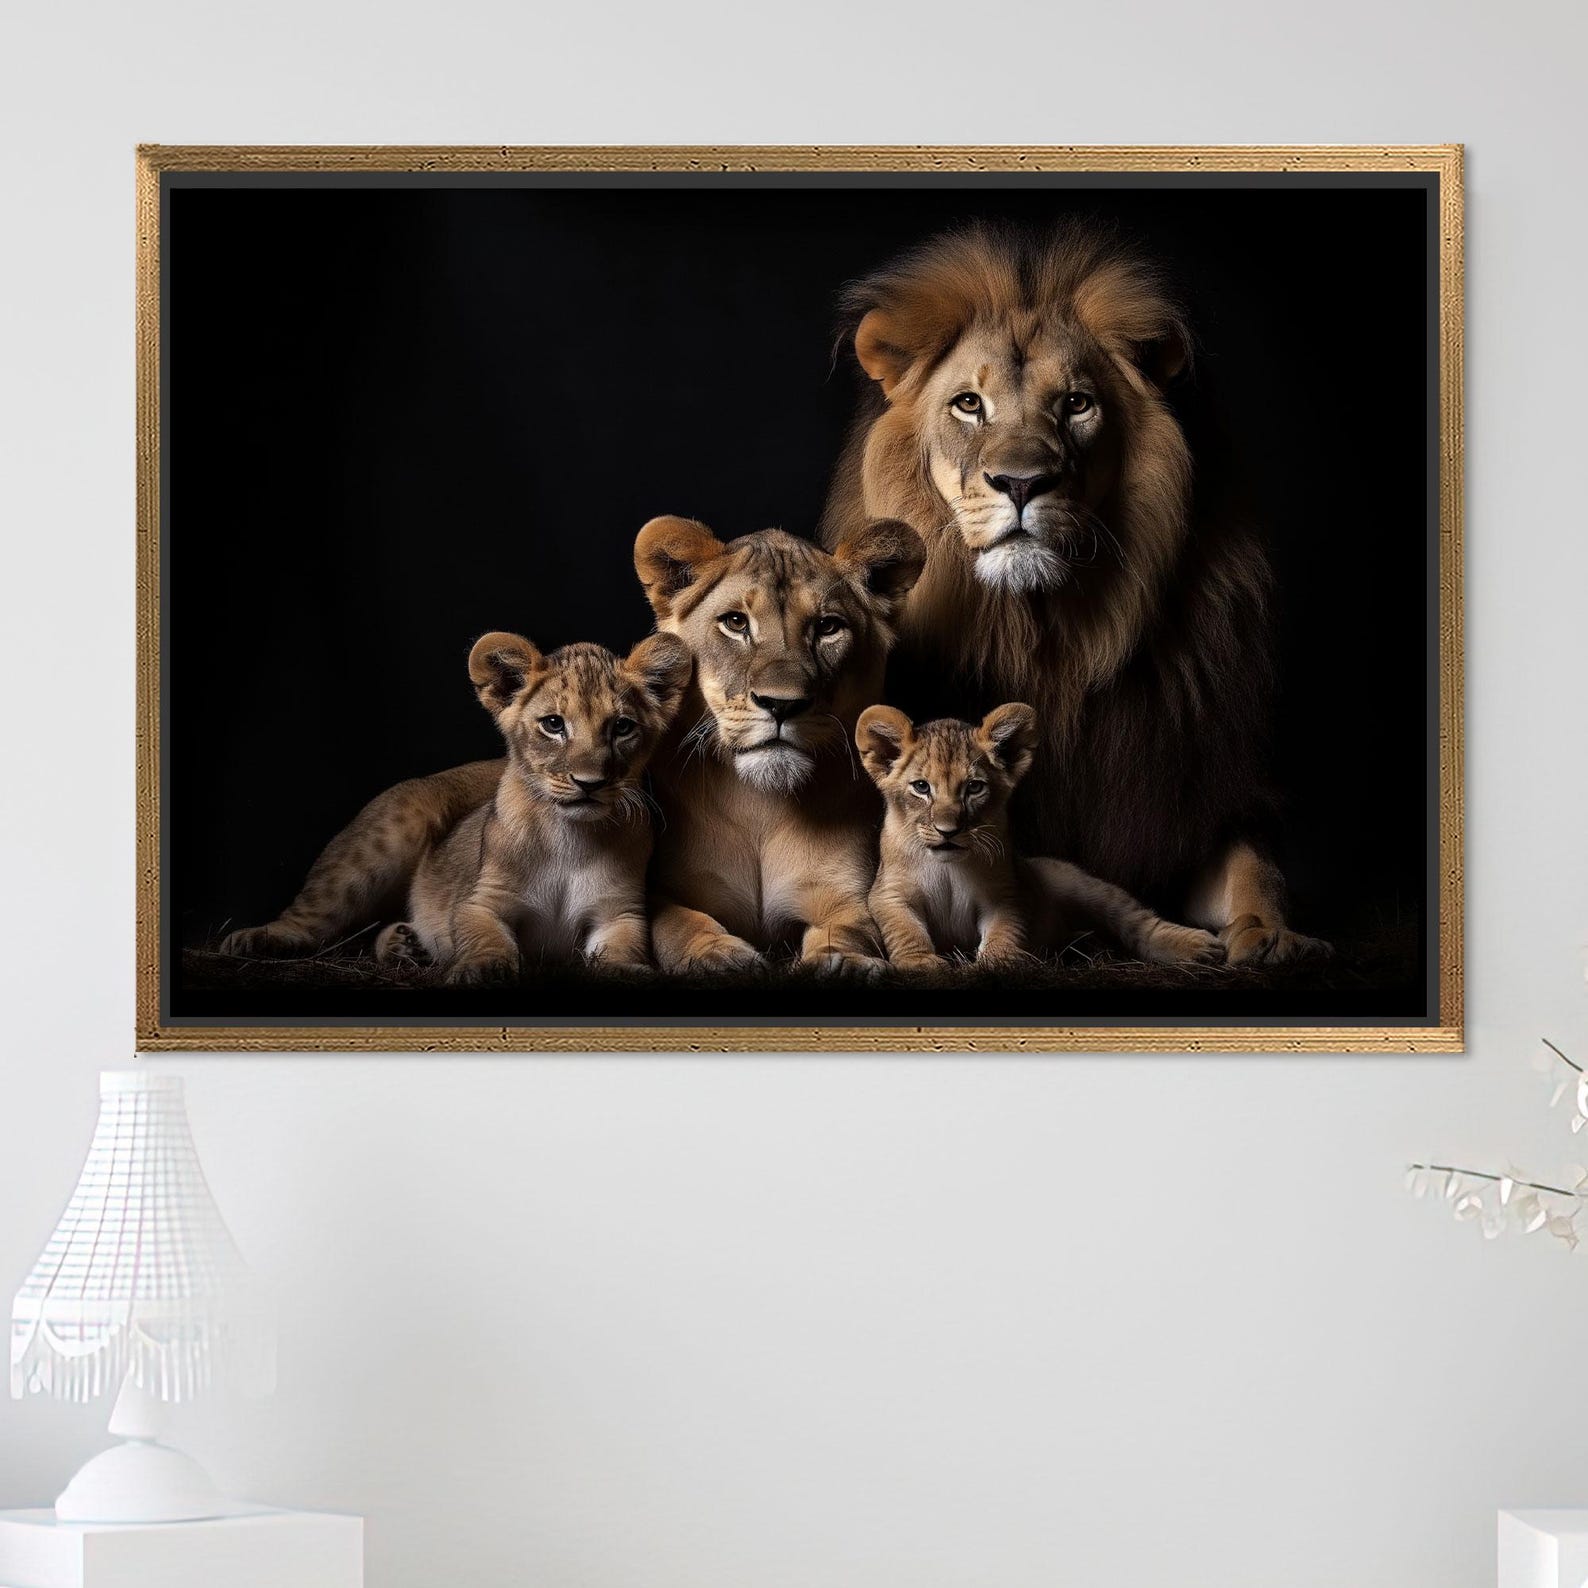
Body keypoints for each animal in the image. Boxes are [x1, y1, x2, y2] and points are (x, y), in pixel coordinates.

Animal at [632, 513, 925, 975]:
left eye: (827, 627)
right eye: (736, 623)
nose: (782, 704)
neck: (761, 809)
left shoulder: (847, 897)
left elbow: (850, 931)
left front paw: (840, 963)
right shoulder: (665, 891)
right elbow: (677, 924)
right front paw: (716, 956)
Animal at [857, 703, 1223, 972]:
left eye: (974, 788)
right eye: (921, 787)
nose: (949, 831)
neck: (949, 866)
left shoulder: (1007, 891)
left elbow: (1006, 927)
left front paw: (1000, 960)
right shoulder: (889, 893)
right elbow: (904, 928)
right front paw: (919, 962)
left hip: (1086, 886)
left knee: (1137, 921)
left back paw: (1198, 946)